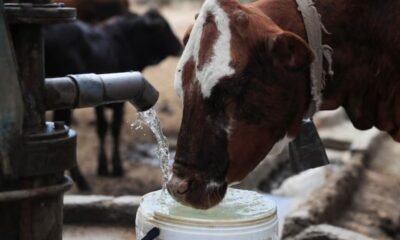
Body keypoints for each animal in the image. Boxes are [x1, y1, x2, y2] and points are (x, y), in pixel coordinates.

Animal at [44, 10, 182, 188]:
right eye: (163, 27)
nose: (180, 46)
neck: (128, 40)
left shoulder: (100, 104)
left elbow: (102, 128)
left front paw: (103, 166)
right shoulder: (119, 104)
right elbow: (115, 129)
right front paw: (116, 167)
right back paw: (81, 180)